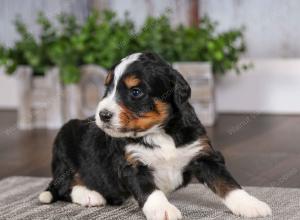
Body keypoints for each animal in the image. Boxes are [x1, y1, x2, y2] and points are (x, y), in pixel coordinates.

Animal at [38, 52, 270, 219]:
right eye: (107, 88)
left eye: (135, 92)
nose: (102, 115)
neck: (159, 132)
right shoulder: (131, 164)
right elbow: (150, 190)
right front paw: (163, 210)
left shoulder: (203, 155)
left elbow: (227, 183)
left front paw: (251, 204)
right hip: (64, 152)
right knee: (63, 187)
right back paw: (90, 195)